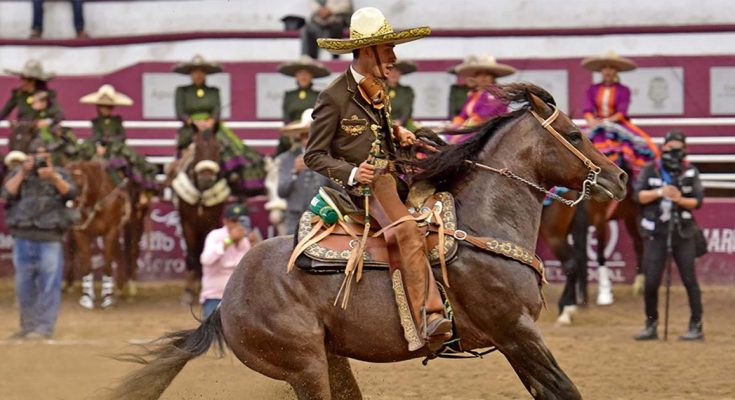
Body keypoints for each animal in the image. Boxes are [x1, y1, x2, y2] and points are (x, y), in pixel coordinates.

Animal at [109, 83, 628, 396]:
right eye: (575, 134)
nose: (620, 176)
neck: (482, 222)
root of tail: (226, 302)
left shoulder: (515, 339)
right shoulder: (516, 331)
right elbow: (565, 389)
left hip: (330, 357)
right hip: (304, 366)